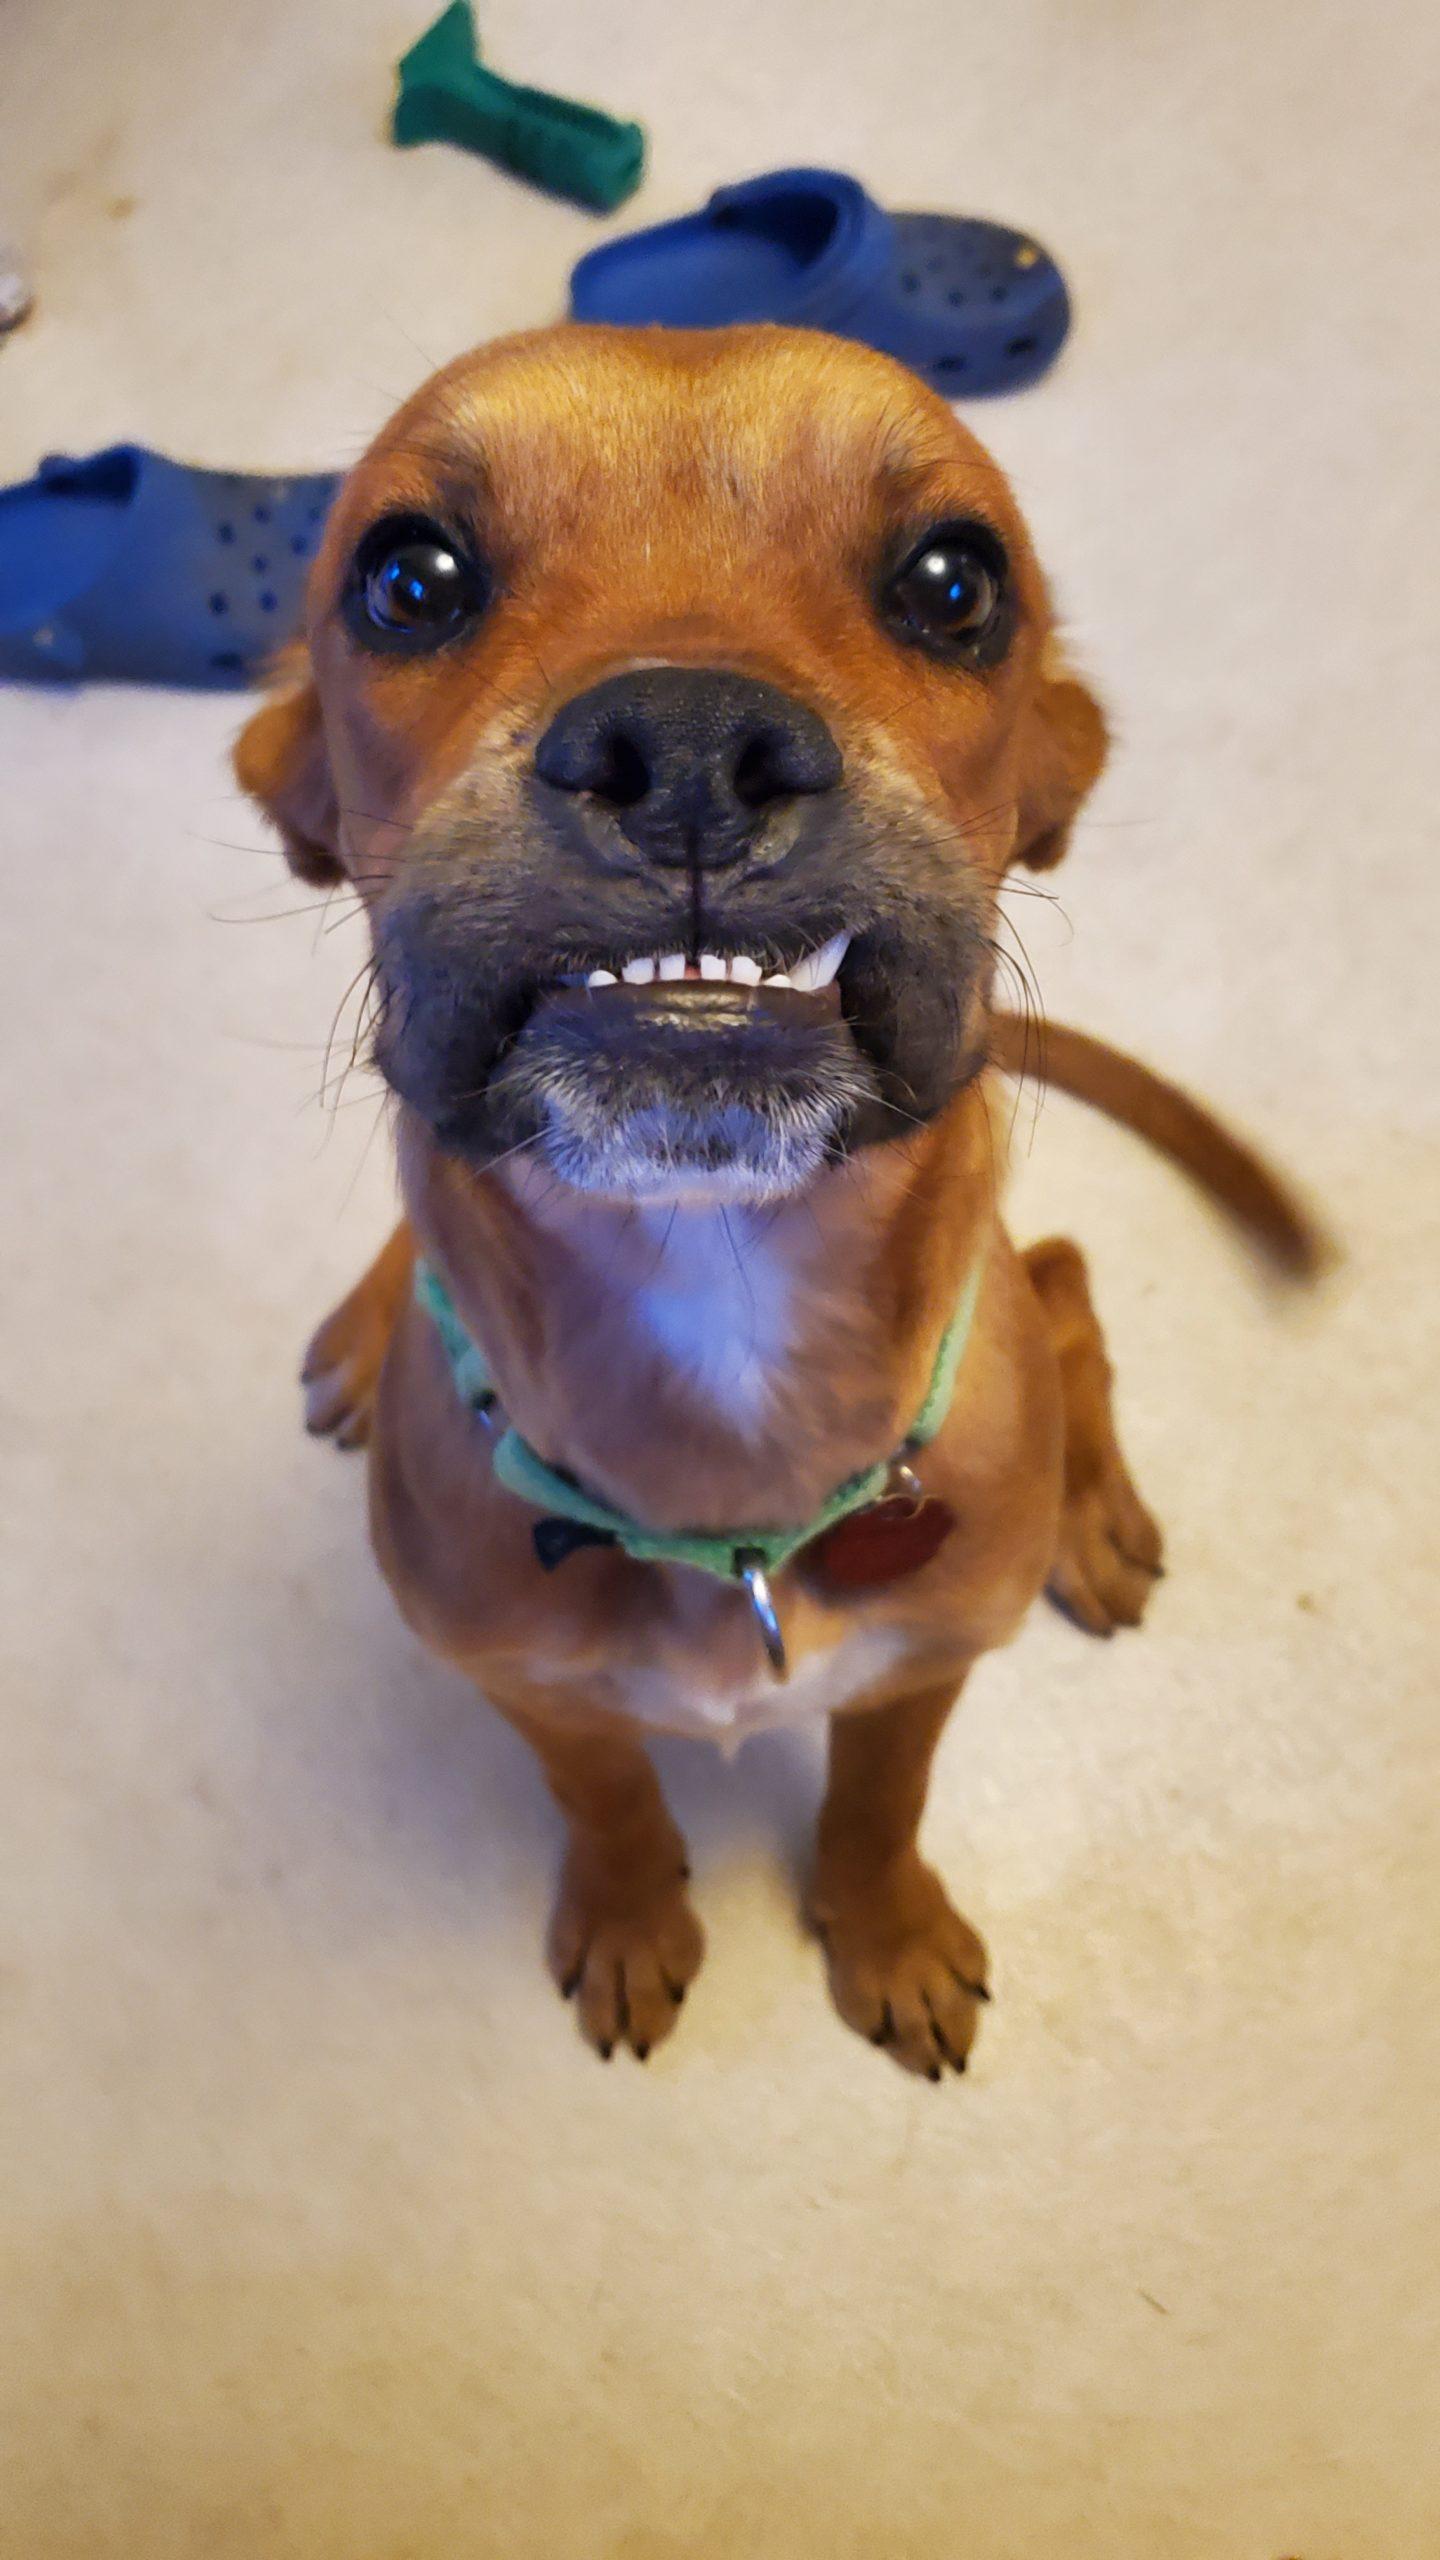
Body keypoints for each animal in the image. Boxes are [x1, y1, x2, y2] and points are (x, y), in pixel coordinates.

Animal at [233, 325, 1311, 2078]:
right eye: (409, 577)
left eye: (953, 580)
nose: (683, 749)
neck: (717, 1287)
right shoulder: (528, 1687)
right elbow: (604, 1796)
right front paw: (629, 1917)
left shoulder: (921, 1672)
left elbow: (879, 1806)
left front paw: (887, 1936)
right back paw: (359, 1331)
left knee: (1072, 1283)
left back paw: (1095, 1511)